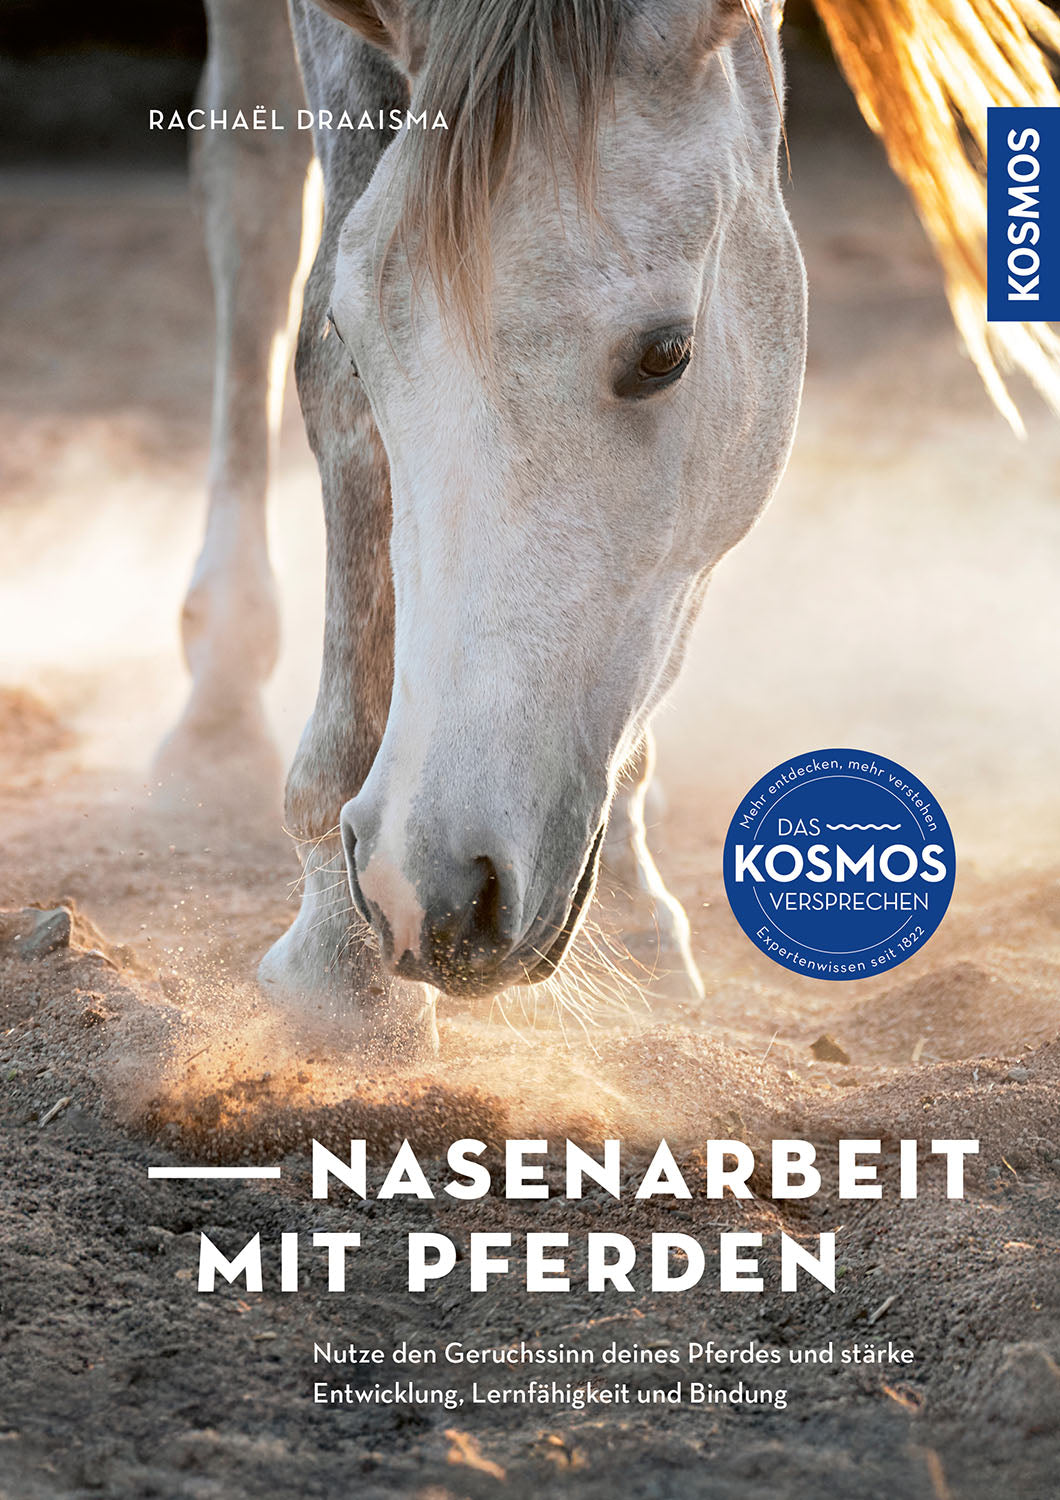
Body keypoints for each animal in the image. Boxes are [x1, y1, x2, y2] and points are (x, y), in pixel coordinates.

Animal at [156, 0, 1060, 1057]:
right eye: (360, 342)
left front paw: (631, 899)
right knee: (247, 189)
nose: (427, 894)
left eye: (665, 353)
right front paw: (340, 957)